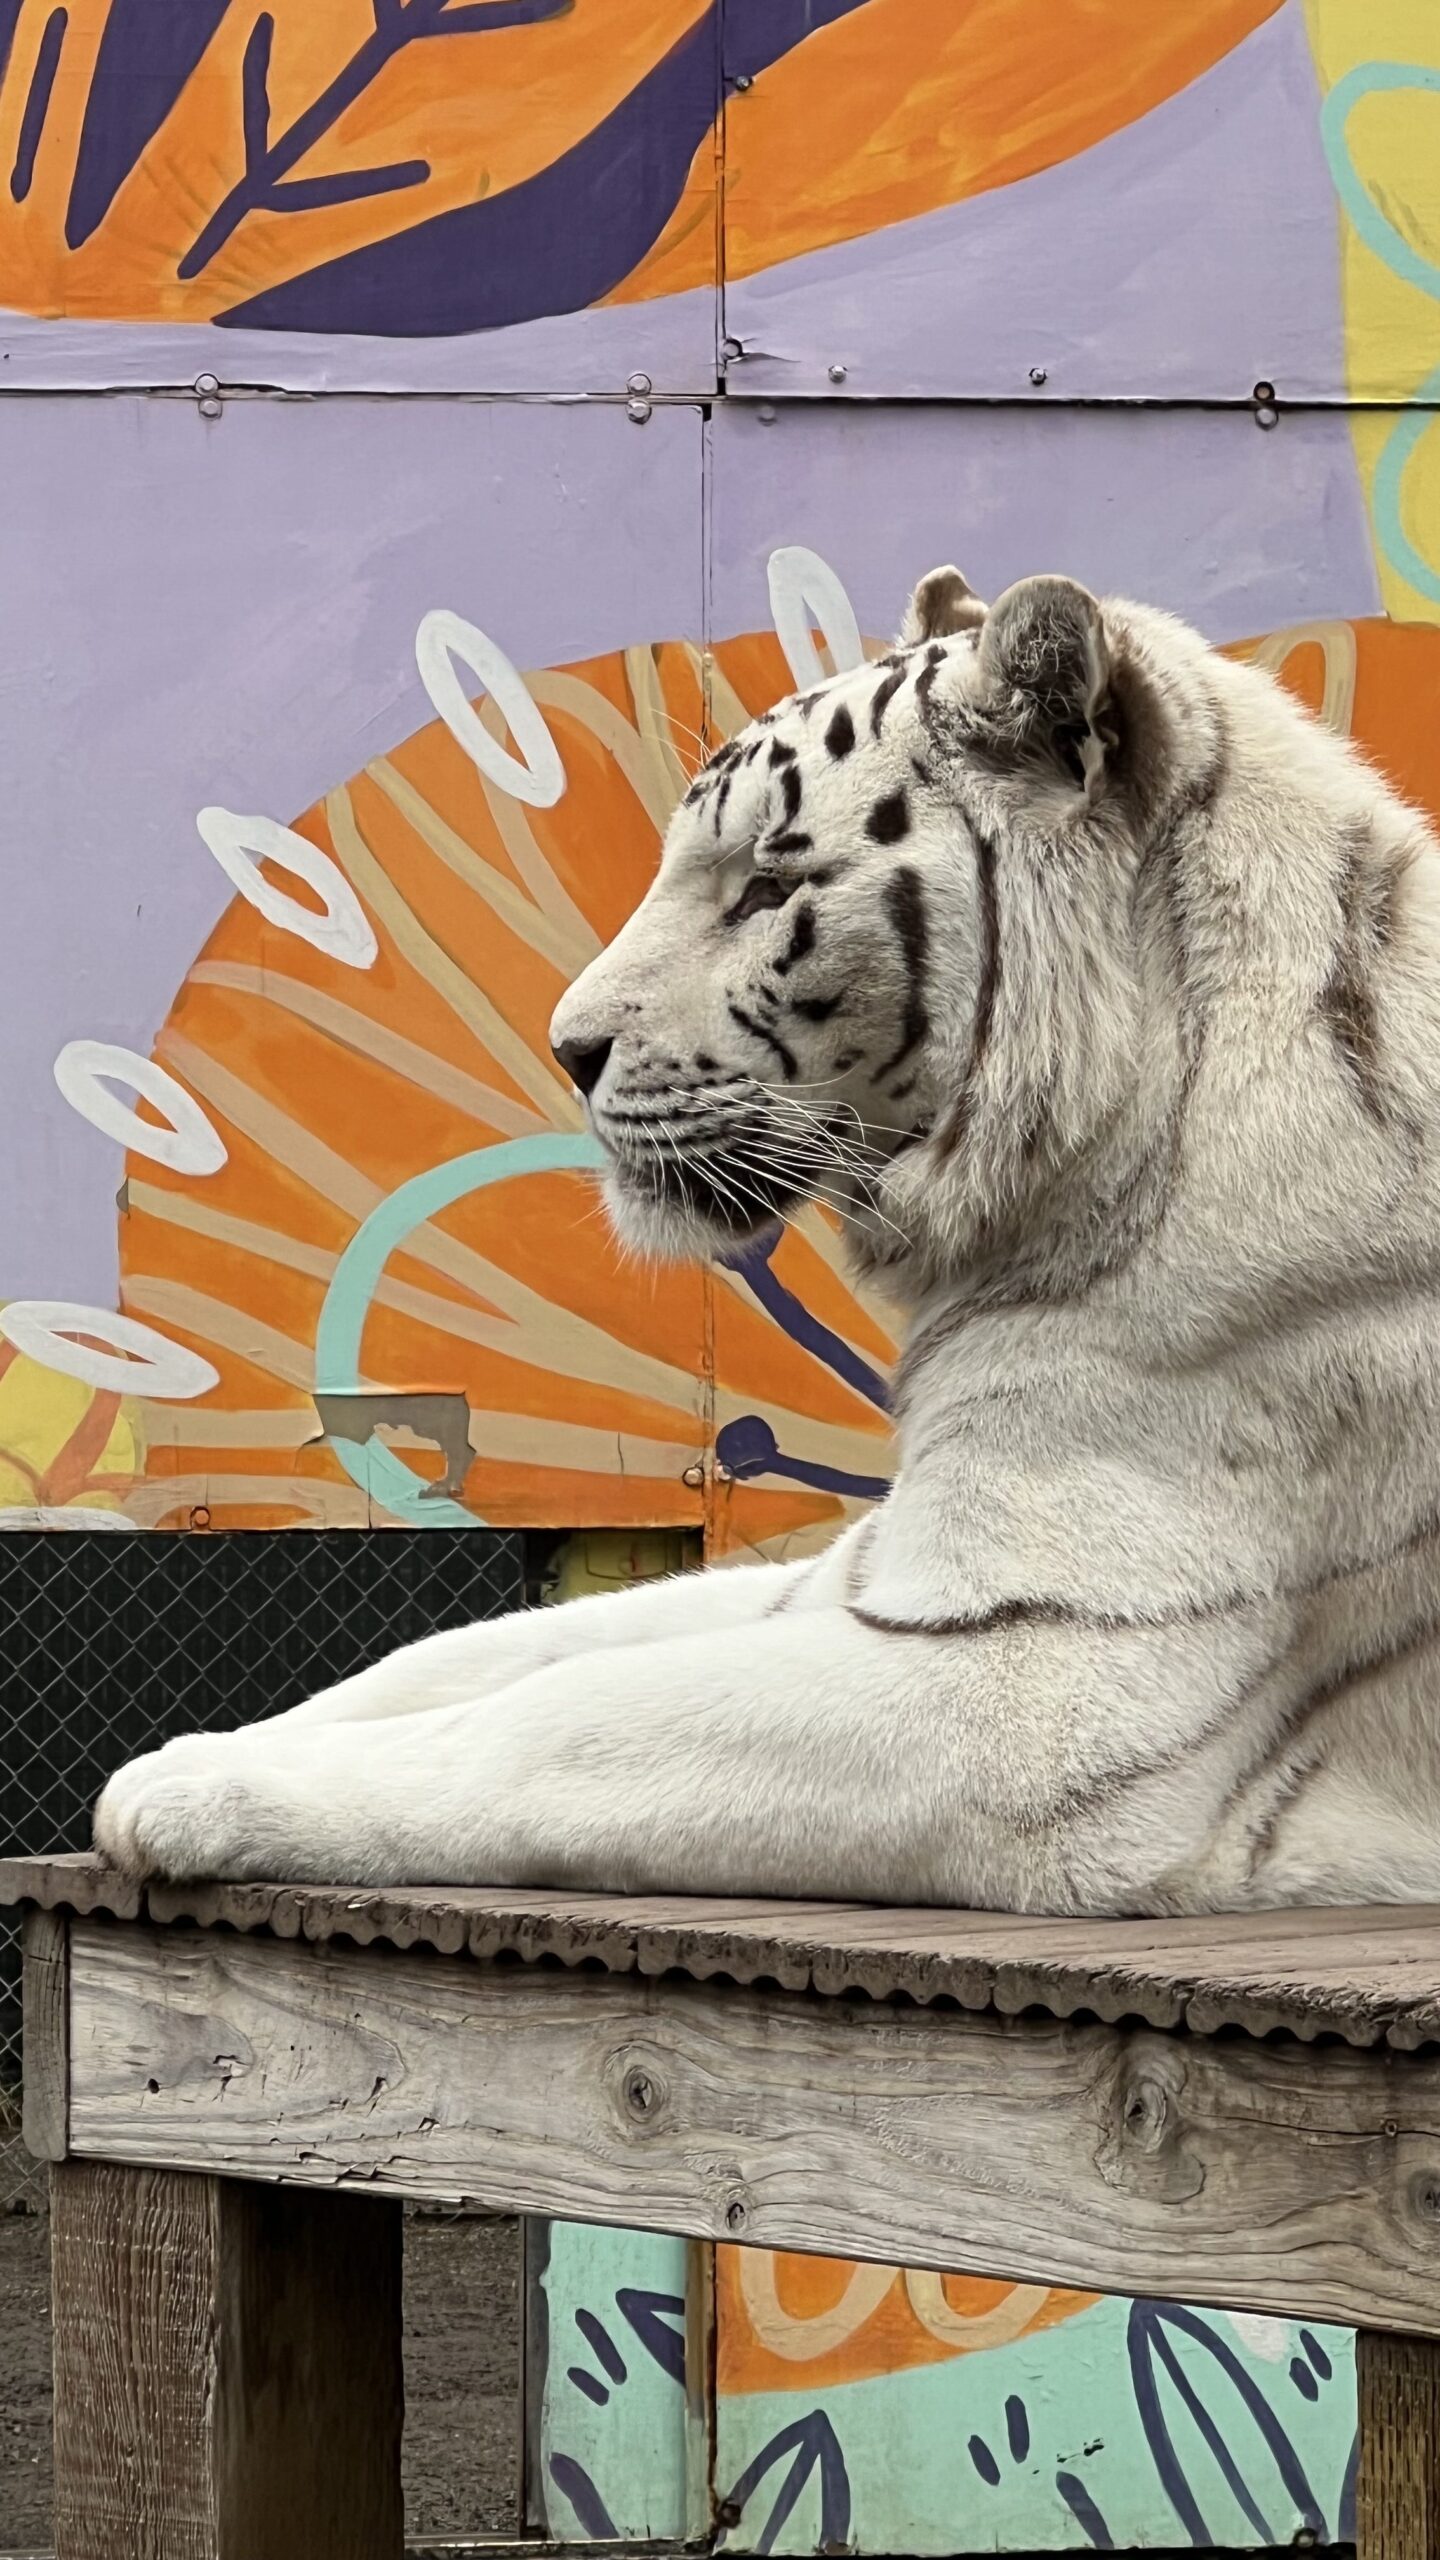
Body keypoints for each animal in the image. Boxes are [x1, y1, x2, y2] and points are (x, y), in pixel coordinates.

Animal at [97, 564, 1440, 1914]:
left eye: (762, 887)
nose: (565, 1048)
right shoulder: (863, 1563)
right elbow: (474, 1650)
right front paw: (175, 1755)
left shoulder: (1041, 1680)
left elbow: (565, 1712)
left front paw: (194, 1791)